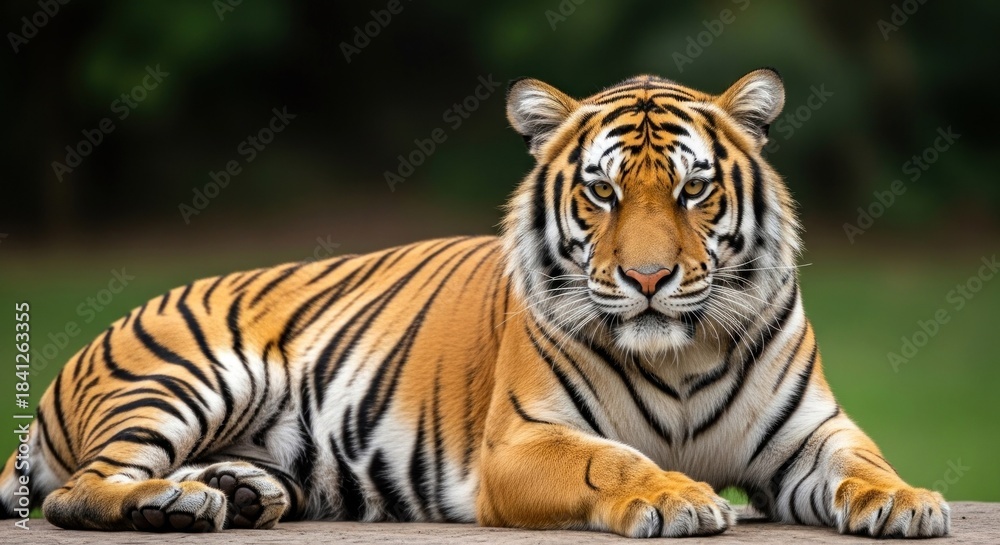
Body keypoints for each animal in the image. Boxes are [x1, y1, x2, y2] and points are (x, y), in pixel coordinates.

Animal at [1, 69, 949, 538]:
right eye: (602, 193)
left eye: (692, 190)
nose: (647, 279)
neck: (679, 350)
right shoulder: (522, 441)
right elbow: (615, 461)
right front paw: (677, 497)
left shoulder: (810, 434)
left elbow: (865, 462)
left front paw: (908, 501)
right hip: (184, 377)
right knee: (79, 490)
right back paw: (175, 505)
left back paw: (226, 494)